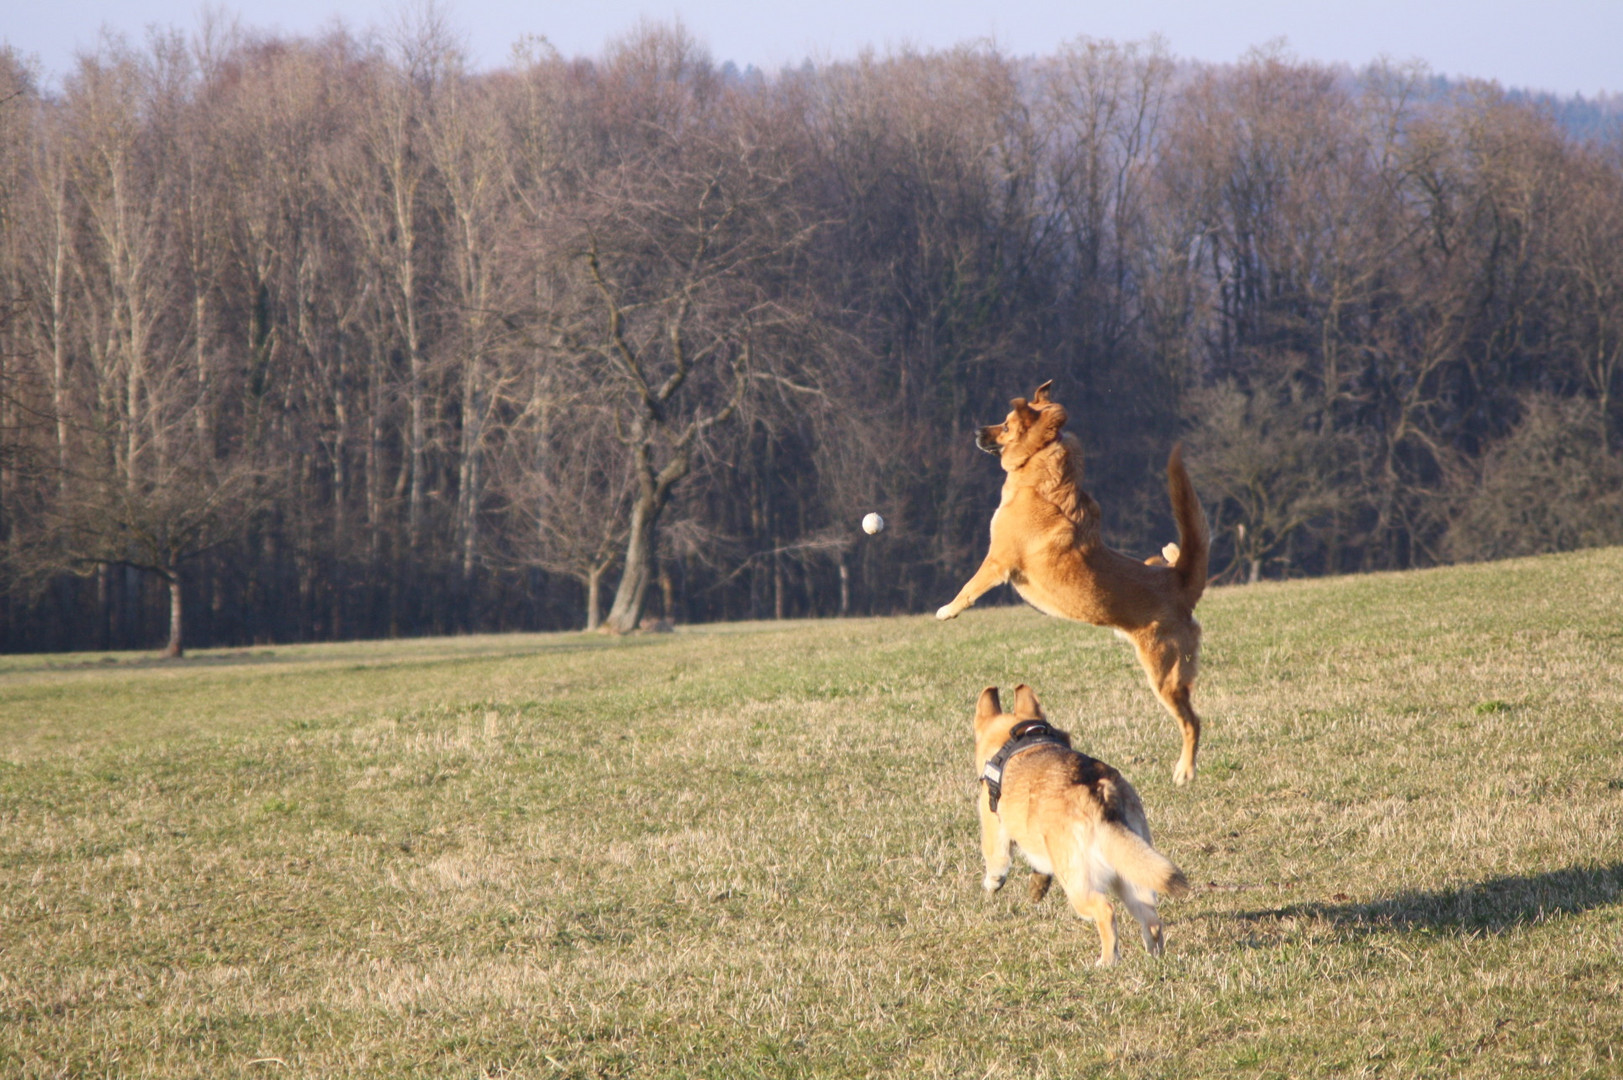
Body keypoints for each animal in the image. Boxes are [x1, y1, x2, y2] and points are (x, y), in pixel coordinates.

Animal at [934, 383, 1214, 779]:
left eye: (1005, 425)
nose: (976, 431)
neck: (1038, 467)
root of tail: (1179, 584)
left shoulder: (997, 561)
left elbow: (968, 587)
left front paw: (947, 610)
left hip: (1165, 677)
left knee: (1192, 721)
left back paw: (1185, 770)